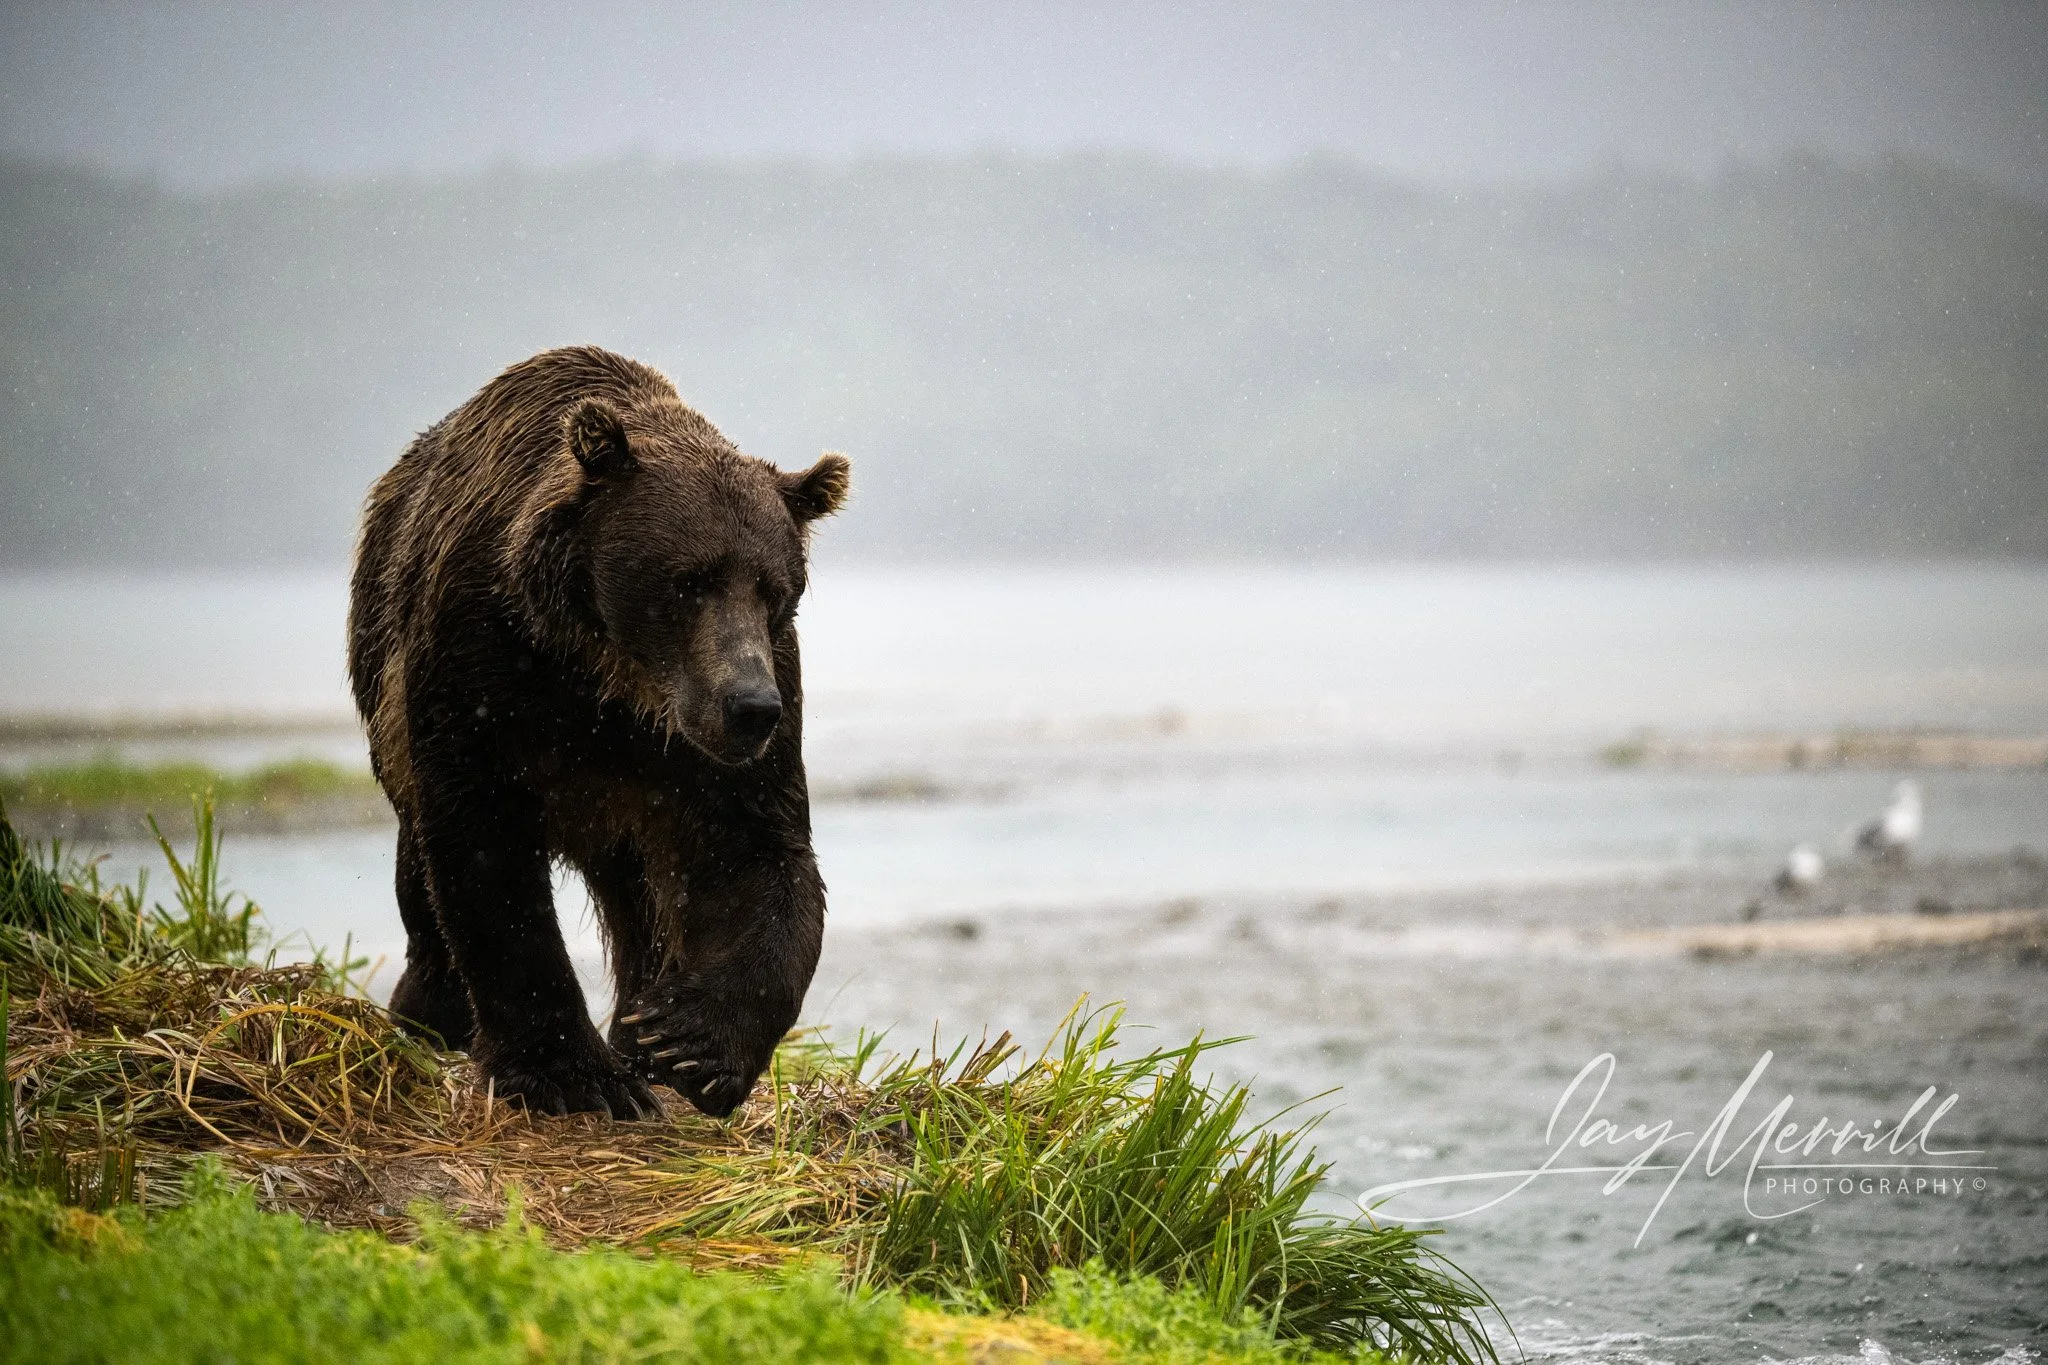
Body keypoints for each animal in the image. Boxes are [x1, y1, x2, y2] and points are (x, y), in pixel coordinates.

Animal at [348, 345, 849, 1119]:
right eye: (688, 581)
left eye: (775, 588)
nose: (748, 707)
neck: (608, 675)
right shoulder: (481, 660)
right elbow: (485, 852)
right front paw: (574, 1075)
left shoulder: (734, 710)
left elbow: (758, 848)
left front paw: (685, 1042)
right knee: (422, 881)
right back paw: (430, 1013)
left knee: (645, 900)